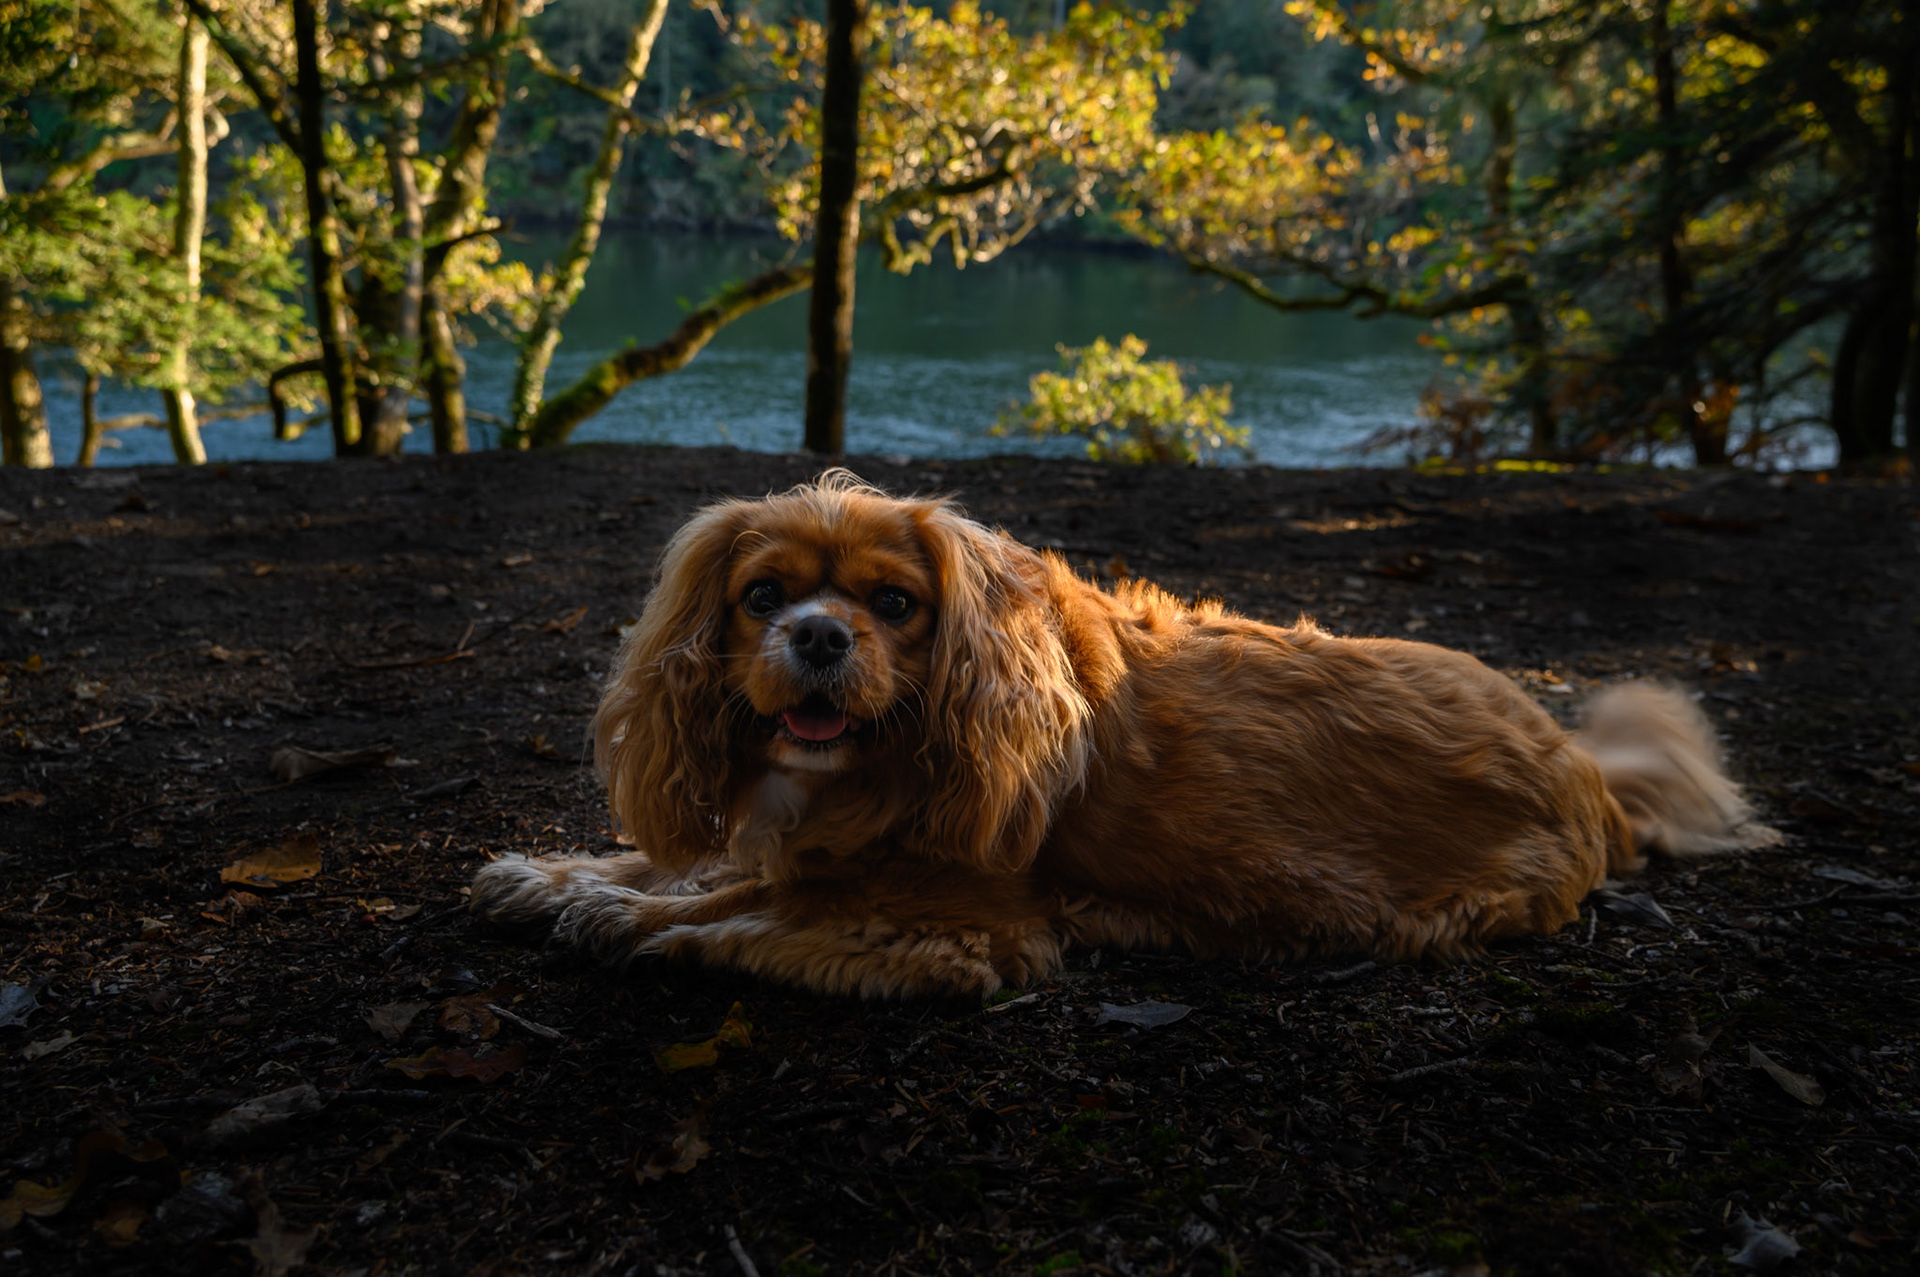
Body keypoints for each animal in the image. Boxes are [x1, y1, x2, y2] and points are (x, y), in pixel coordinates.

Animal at [471, 471, 1772, 998]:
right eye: (758, 596)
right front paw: (561, 872)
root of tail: (1583, 761)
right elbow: (710, 868)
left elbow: (740, 914)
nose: (820, 635)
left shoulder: (957, 924)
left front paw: (628, 917)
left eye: (894, 602)